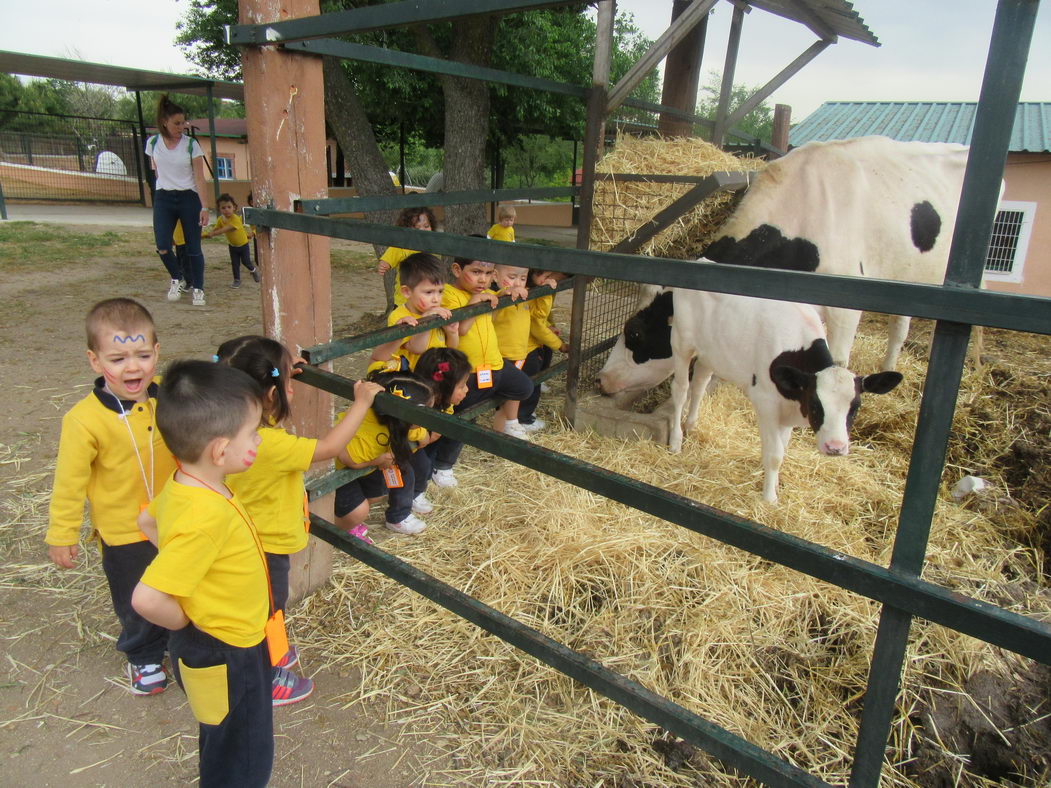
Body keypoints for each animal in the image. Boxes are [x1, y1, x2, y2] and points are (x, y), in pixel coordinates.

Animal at [601, 287, 903, 502]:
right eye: (817, 404)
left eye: (855, 407)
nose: (836, 447)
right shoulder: (767, 403)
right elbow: (775, 453)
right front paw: (769, 499)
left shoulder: (787, 407)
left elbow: (782, 447)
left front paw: (773, 480)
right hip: (682, 345)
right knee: (681, 389)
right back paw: (676, 439)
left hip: (711, 350)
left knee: (700, 383)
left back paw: (692, 425)